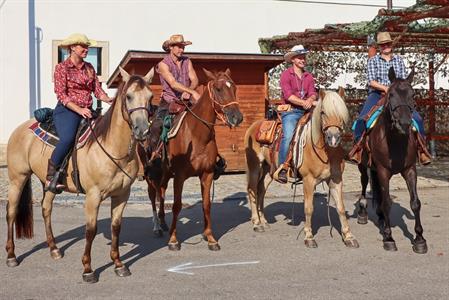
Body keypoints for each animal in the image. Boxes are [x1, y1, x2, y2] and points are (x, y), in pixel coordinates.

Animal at [4, 67, 156, 282]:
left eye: (150, 97)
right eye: (128, 96)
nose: (142, 130)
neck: (113, 149)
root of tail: (20, 128)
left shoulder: (122, 195)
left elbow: (116, 227)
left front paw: (118, 264)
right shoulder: (93, 196)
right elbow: (90, 230)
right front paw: (88, 269)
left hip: (48, 184)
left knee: (46, 209)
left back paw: (54, 249)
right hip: (17, 178)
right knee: (11, 212)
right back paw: (11, 256)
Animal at [141, 68, 243, 251]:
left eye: (234, 88)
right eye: (218, 89)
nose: (237, 117)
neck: (196, 135)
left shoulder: (207, 173)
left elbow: (206, 205)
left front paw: (210, 238)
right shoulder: (180, 176)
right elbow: (177, 205)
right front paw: (173, 240)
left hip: (164, 174)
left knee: (161, 192)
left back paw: (163, 223)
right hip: (150, 173)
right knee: (153, 195)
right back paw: (157, 227)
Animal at [243, 88, 358, 248]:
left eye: (342, 113)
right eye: (323, 112)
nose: (333, 138)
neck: (324, 150)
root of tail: (254, 126)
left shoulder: (336, 180)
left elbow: (340, 208)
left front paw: (348, 236)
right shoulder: (308, 180)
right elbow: (309, 208)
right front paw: (309, 237)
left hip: (268, 171)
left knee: (261, 191)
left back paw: (264, 221)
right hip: (254, 166)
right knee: (252, 190)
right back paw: (256, 223)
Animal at [354, 68, 428, 253]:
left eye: (412, 94)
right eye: (392, 94)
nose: (404, 123)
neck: (395, 140)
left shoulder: (410, 169)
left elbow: (415, 203)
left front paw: (420, 239)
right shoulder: (383, 171)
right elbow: (387, 202)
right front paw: (389, 238)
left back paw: (381, 218)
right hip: (363, 165)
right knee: (364, 183)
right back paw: (363, 213)